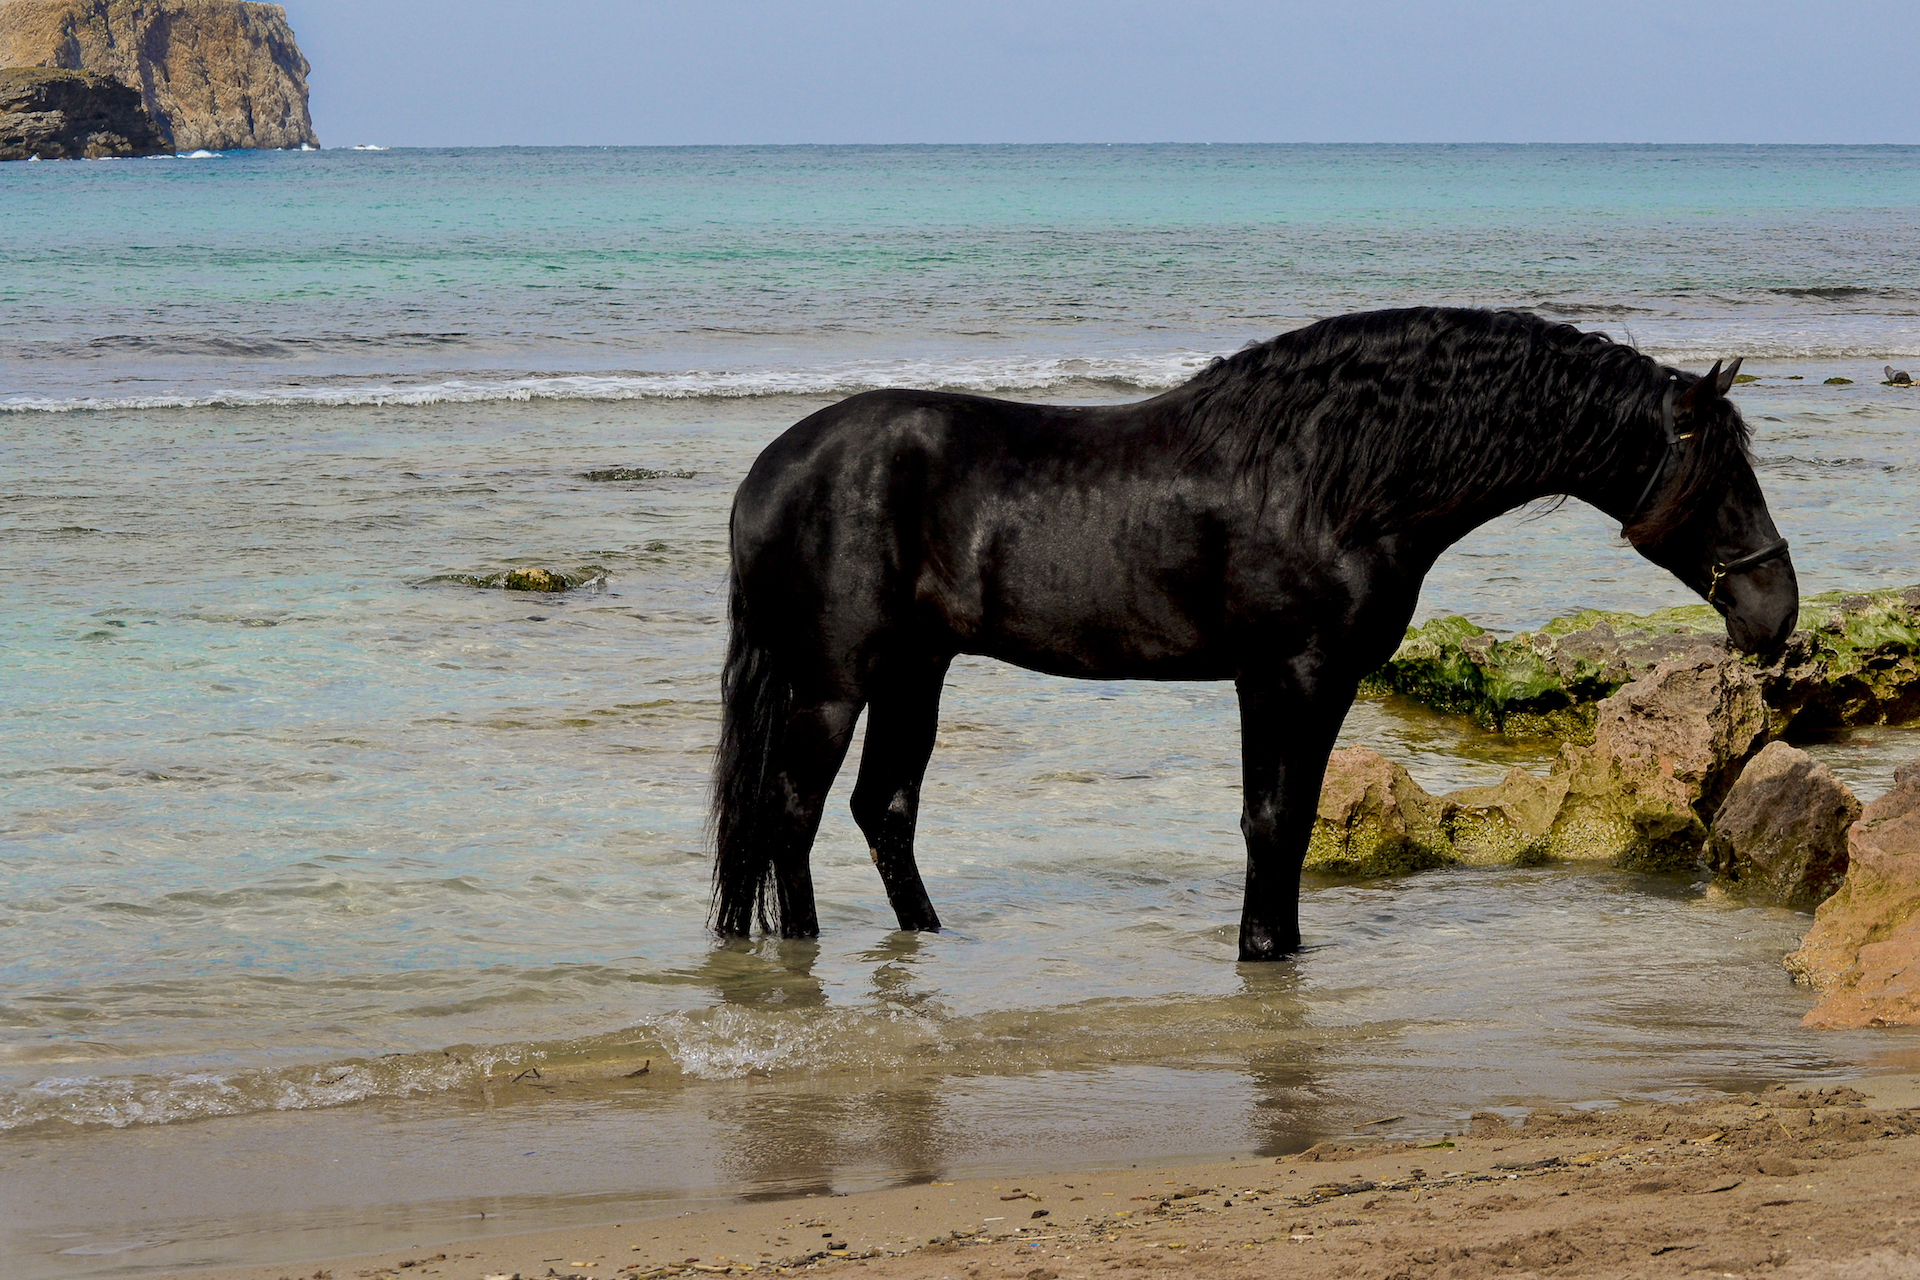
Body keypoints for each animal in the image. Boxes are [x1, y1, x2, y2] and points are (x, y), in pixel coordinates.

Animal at [710, 307, 1797, 959]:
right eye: (1720, 475)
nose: (1775, 609)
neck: (1333, 478)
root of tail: (770, 471)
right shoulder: (1287, 675)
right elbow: (1272, 820)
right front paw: (1263, 948)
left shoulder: (1317, 682)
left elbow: (1297, 817)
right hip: (834, 682)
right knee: (792, 811)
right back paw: (803, 949)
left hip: (914, 671)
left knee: (881, 809)